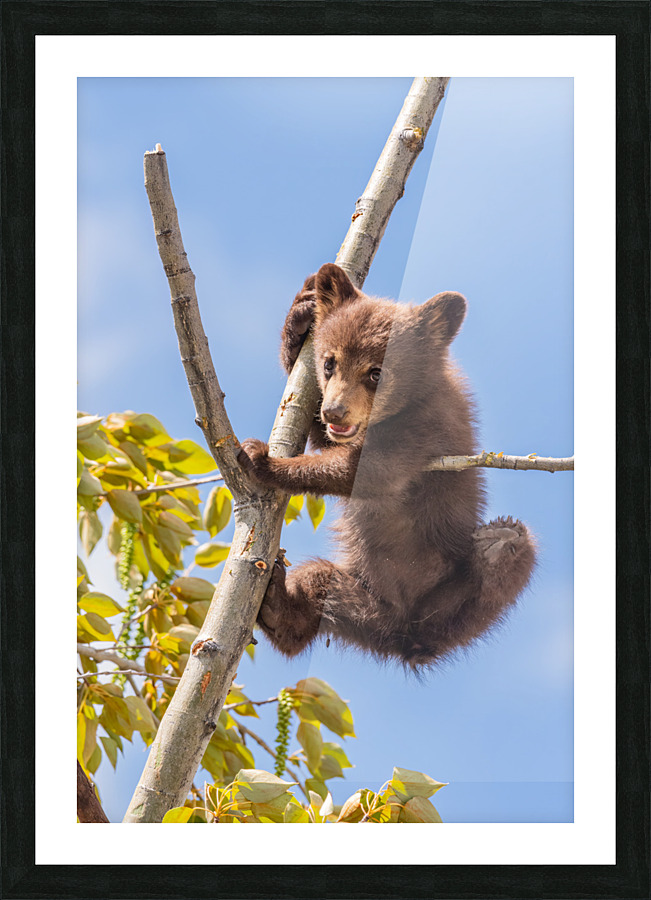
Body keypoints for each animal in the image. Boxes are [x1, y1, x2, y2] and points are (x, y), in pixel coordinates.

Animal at [238, 263, 536, 669]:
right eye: (329, 363)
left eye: (376, 372)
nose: (334, 411)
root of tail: (405, 641)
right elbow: (329, 442)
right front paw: (301, 314)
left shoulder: (428, 425)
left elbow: (372, 470)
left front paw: (262, 459)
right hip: (357, 598)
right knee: (314, 588)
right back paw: (275, 605)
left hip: (450, 602)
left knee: (503, 570)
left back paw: (499, 543)